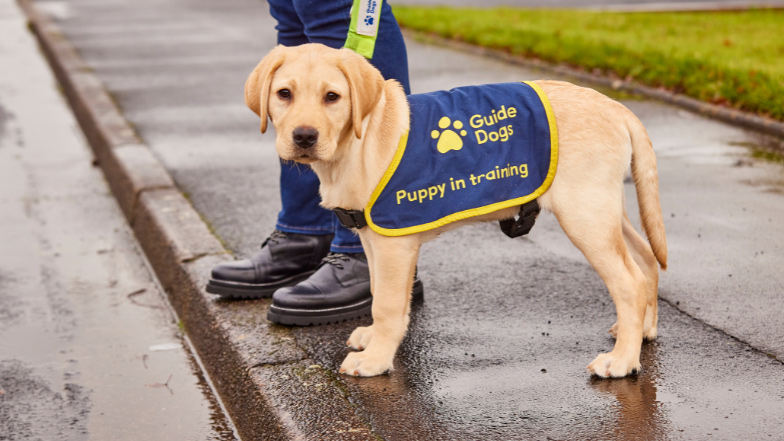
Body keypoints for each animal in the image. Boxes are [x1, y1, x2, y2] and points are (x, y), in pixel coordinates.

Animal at [245, 43, 668, 376]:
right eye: (284, 94)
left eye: (332, 97)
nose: (304, 137)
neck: (359, 143)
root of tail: (615, 107)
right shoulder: (373, 238)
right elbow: (380, 292)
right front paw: (375, 341)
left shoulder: (394, 245)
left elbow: (386, 304)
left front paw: (376, 359)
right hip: (605, 208)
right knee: (646, 260)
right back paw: (641, 332)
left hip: (584, 213)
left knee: (628, 281)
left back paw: (622, 361)